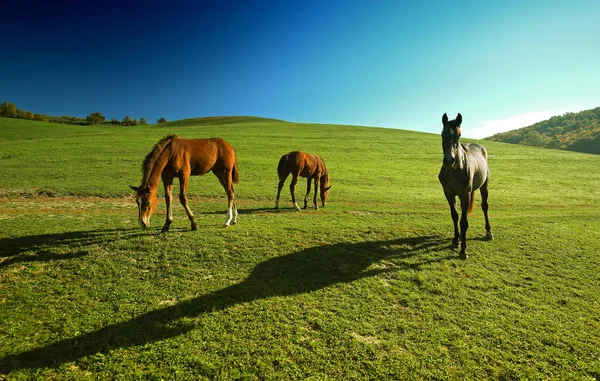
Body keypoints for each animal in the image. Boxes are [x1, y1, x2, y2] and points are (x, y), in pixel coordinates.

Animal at [436, 113, 492, 258]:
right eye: (443, 134)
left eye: (459, 135)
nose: (449, 160)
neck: (455, 169)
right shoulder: (448, 193)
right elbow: (455, 216)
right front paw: (456, 240)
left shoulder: (464, 195)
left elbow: (464, 222)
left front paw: (463, 250)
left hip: (484, 187)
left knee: (485, 206)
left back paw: (488, 232)